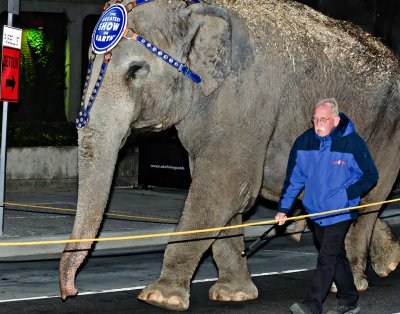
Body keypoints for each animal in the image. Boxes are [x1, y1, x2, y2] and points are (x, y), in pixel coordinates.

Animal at [59, 0, 400, 312]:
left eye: (135, 70)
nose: (69, 291)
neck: (195, 10)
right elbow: (225, 193)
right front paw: (233, 295)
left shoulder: (246, 101)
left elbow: (224, 187)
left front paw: (160, 298)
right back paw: (389, 262)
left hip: (386, 132)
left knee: (368, 201)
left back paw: (349, 285)